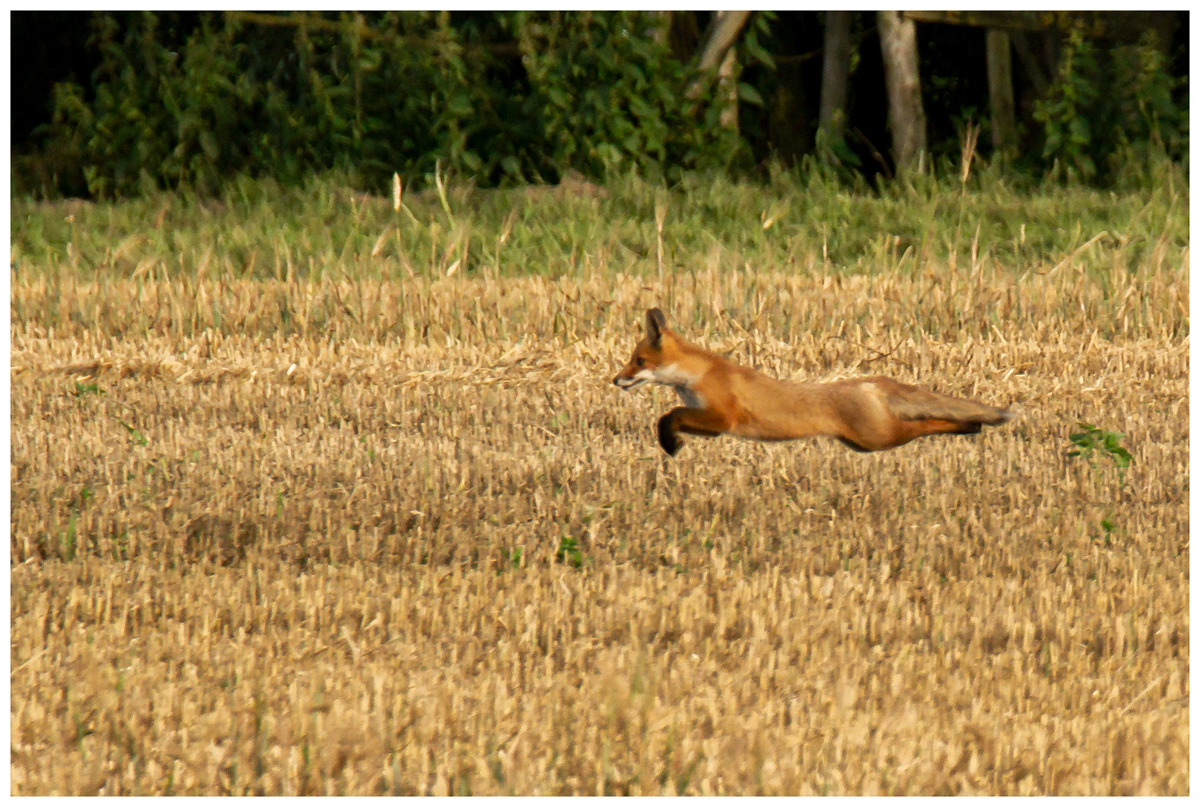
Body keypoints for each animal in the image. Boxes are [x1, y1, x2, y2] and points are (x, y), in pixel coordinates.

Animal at [614, 307, 1017, 456]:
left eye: (638, 361)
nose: (616, 379)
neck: (697, 376)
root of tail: (868, 381)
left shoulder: (722, 417)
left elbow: (668, 415)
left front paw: (670, 443)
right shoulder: (712, 426)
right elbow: (672, 415)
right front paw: (673, 443)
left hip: (880, 438)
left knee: (929, 423)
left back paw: (970, 425)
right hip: (861, 444)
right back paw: (971, 427)